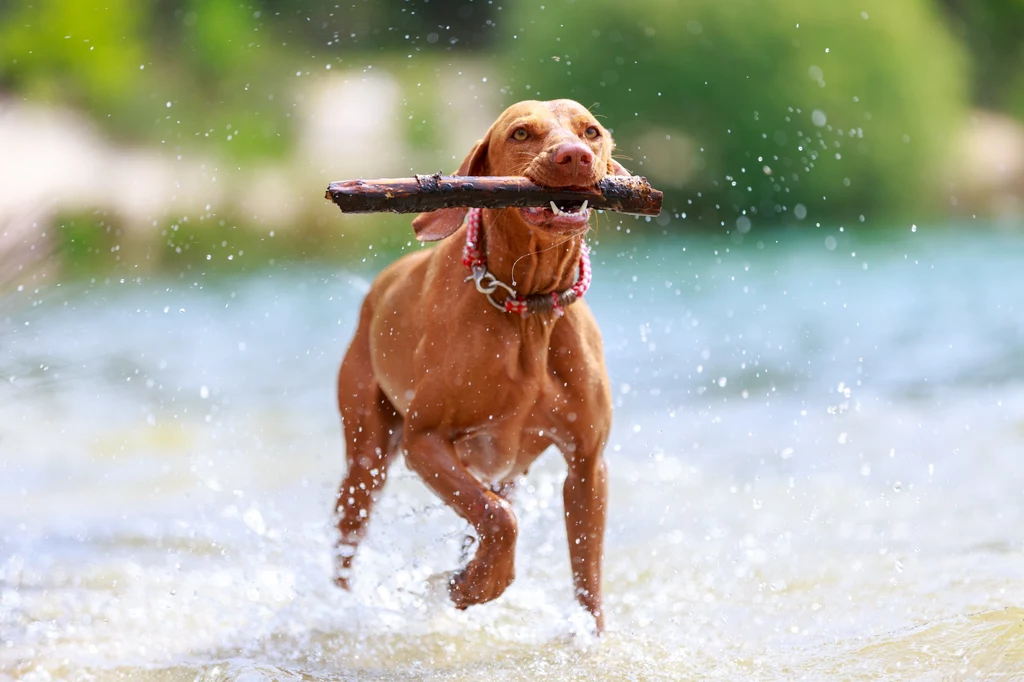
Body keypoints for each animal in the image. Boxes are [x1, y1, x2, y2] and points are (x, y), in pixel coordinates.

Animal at [331, 96, 626, 630]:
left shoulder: (587, 464)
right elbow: (500, 521)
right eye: (521, 133)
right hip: (368, 458)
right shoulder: (424, 441)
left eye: (590, 131)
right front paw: (479, 584)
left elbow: (587, 579)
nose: (573, 156)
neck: (527, 308)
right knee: (347, 539)